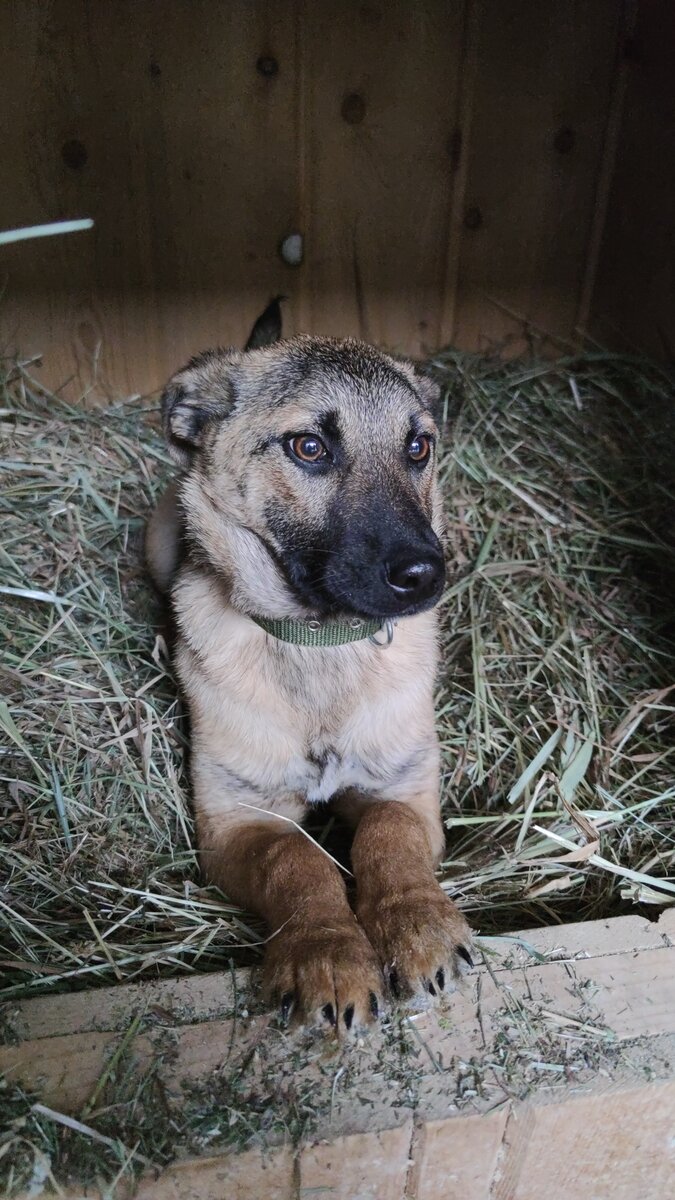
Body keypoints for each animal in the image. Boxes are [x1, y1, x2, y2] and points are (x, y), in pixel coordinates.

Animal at [147, 300, 473, 1032]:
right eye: (309, 448)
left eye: (417, 447)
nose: (425, 574)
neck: (318, 644)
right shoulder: (237, 822)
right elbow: (294, 858)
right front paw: (325, 952)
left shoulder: (406, 792)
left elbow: (386, 835)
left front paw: (417, 923)